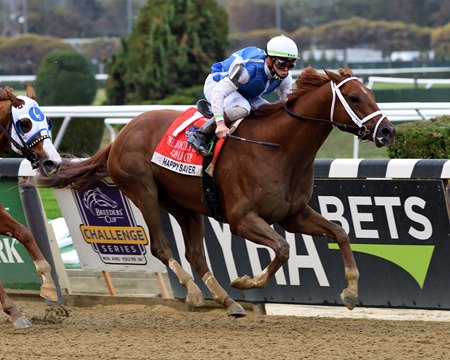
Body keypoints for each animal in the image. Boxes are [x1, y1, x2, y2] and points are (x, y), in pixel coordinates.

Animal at [35, 67, 396, 316]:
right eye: (354, 98)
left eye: (371, 93)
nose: (388, 131)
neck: (280, 149)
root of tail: (122, 134)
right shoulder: (241, 219)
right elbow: (281, 249)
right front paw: (246, 282)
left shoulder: (294, 214)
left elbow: (340, 232)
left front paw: (350, 292)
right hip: (143, 191)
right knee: (162, 247)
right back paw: (196, 294)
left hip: (185, 206)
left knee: (195, 254)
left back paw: (227, 301)